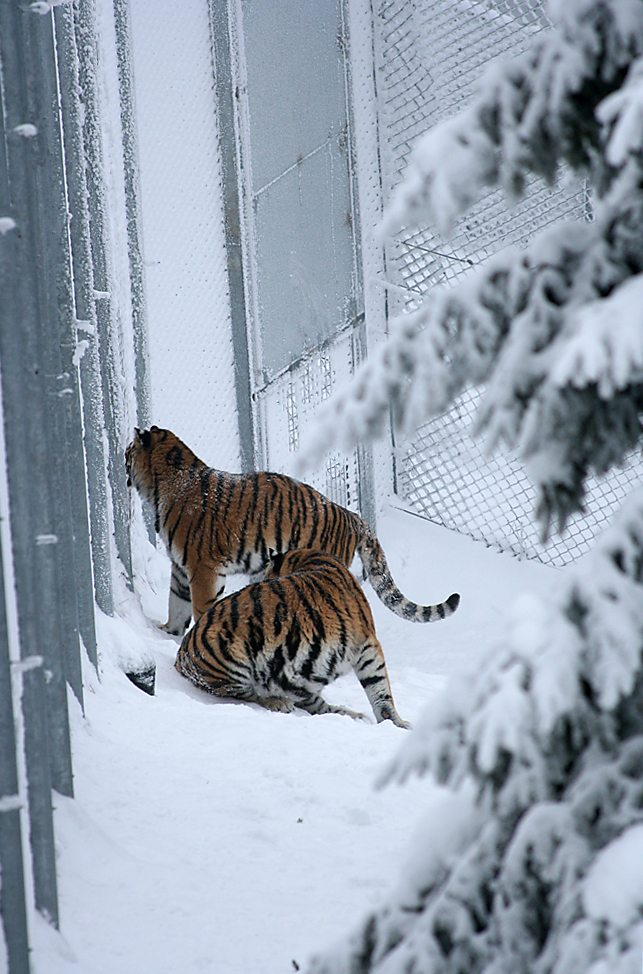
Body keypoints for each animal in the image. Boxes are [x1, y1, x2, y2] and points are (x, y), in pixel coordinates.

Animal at [125, 426, 460, 635]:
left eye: (128, 451)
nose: (118, 460)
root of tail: (352, 515)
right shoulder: (181, 568)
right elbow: (176, 603)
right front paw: (167, 632)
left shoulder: (203, 567)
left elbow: (199, 606)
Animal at [175, 548, 416, 726]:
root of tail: (180, 656)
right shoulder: (368, 644)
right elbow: (380, 689)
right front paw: (396, 723)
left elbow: (379, 690)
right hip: (231, 661)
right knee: (249, 694)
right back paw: (279, 702)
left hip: (300, 681)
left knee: (315, 704)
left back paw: (351, 715)